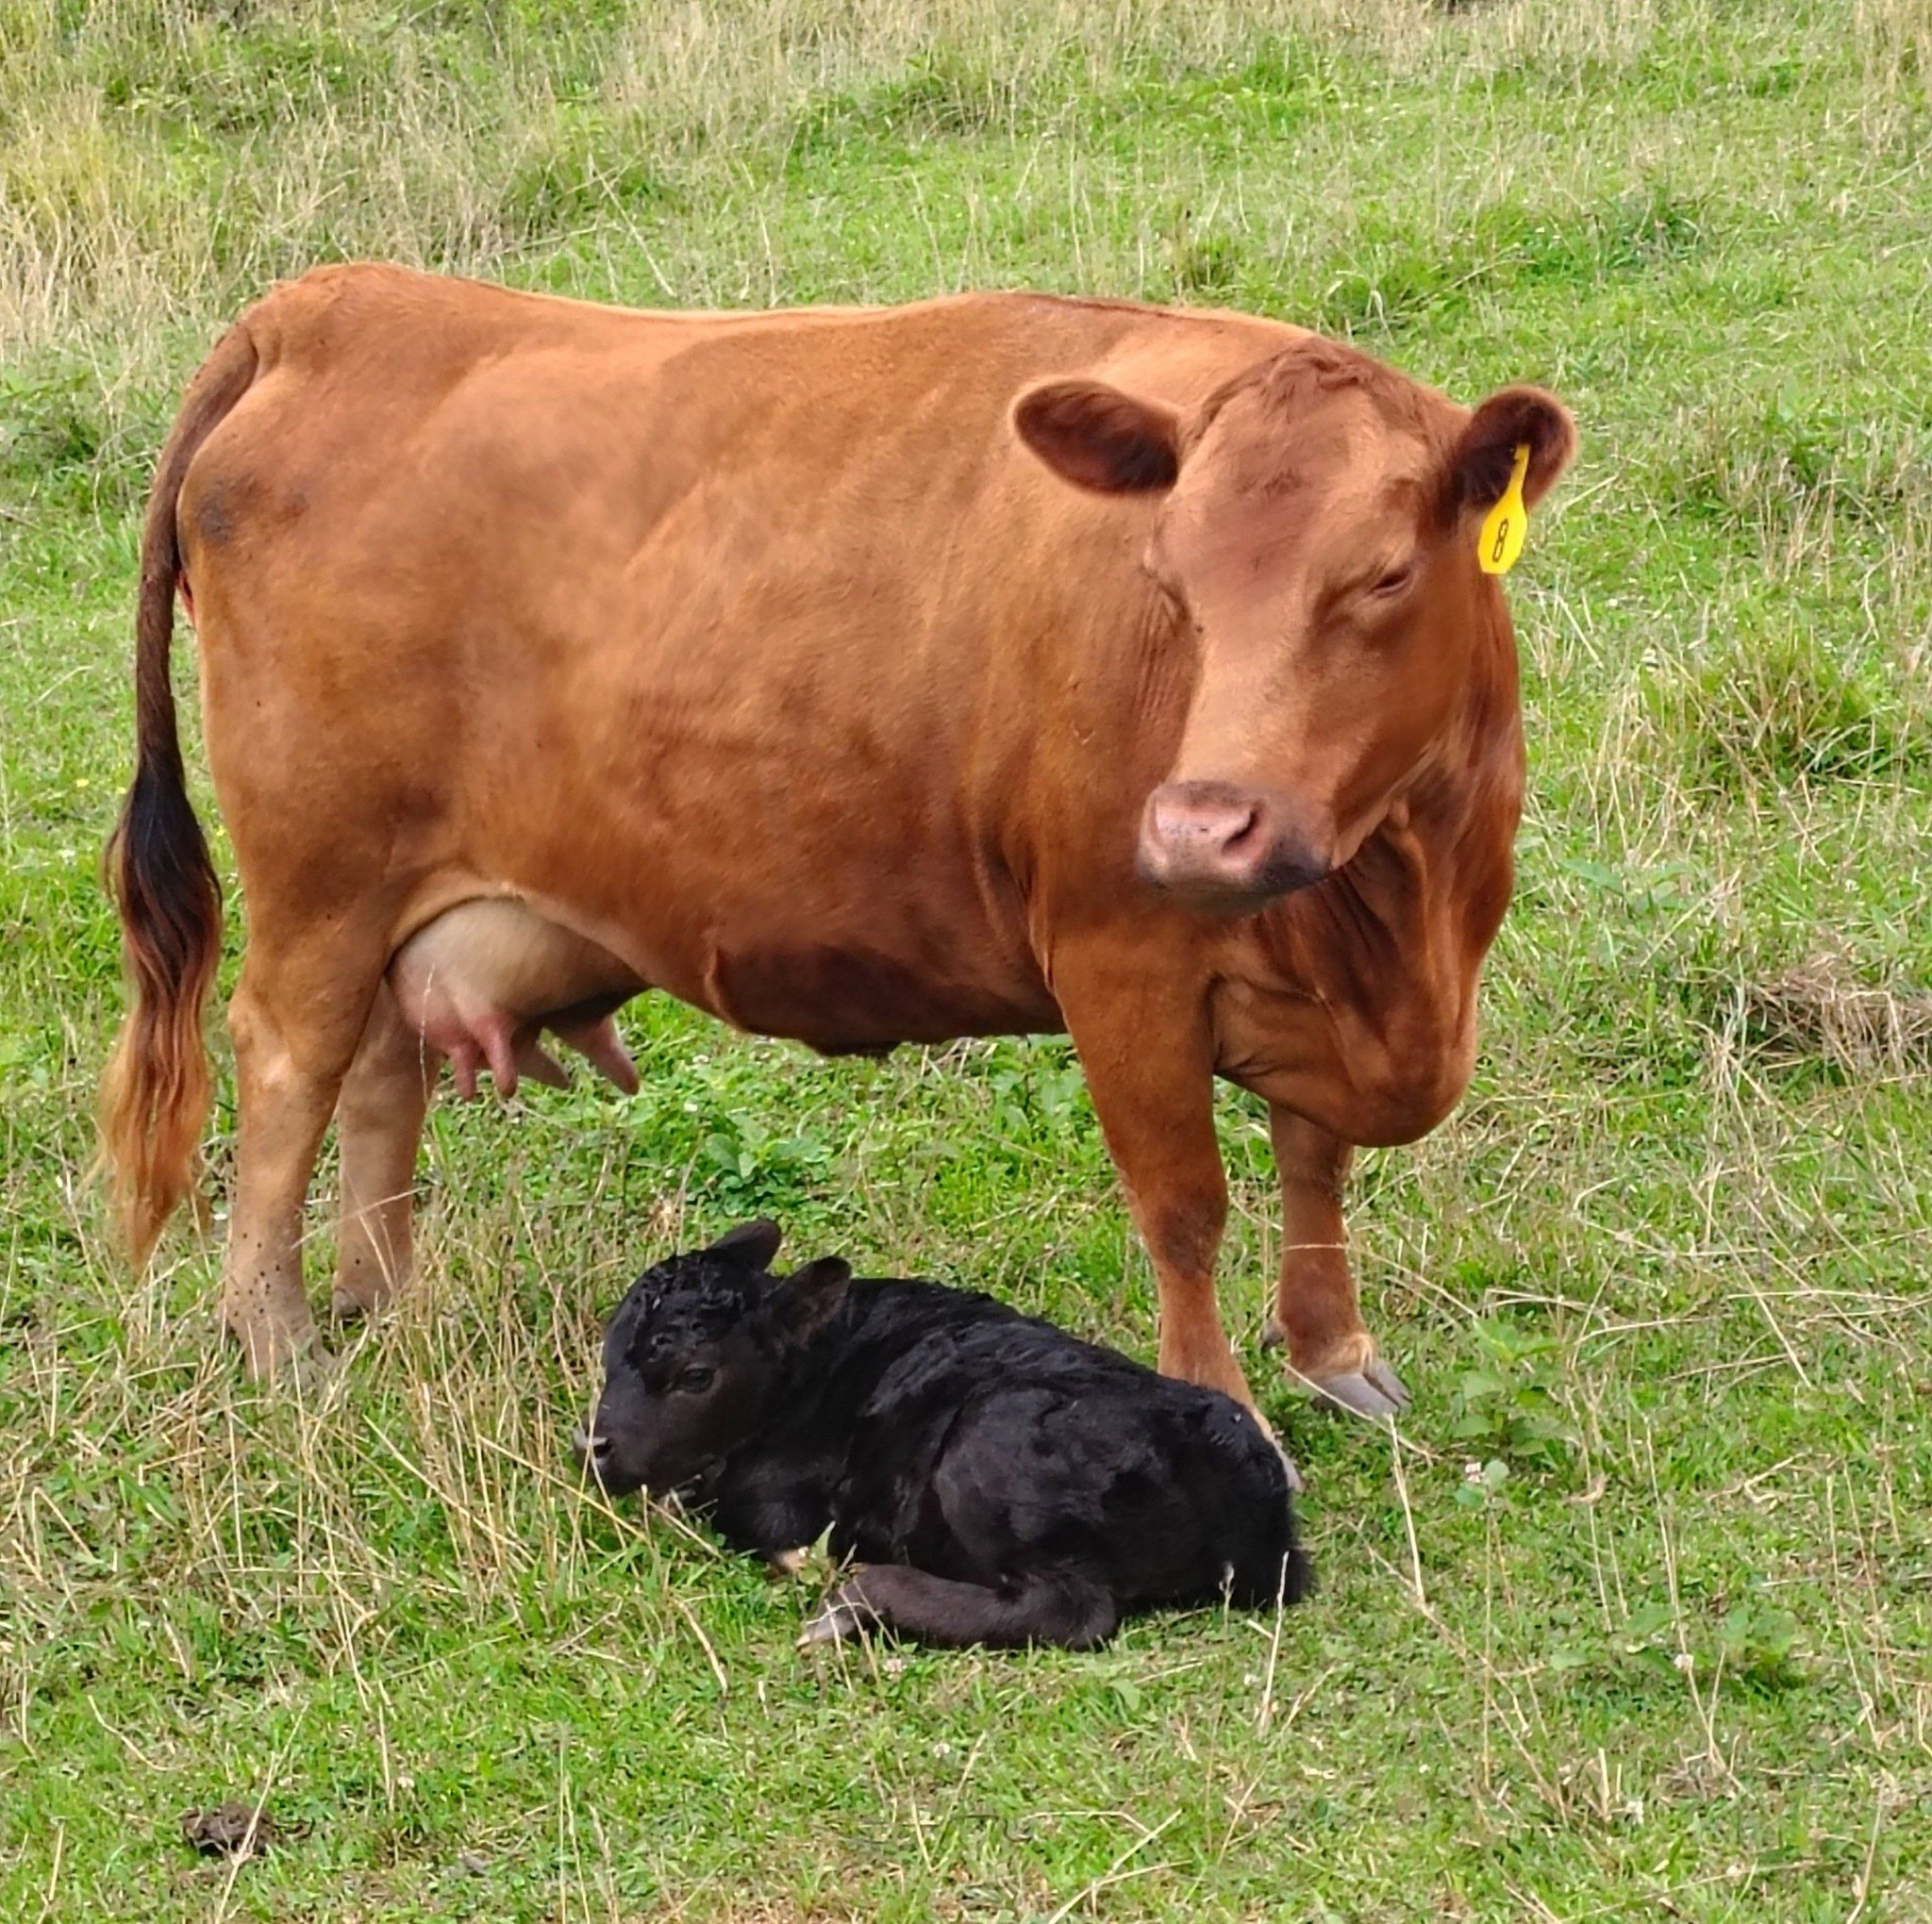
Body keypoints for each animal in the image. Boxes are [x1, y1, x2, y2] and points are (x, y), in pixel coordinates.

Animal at [100, 264, 1575, 1414]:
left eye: (1385, 573)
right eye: (1167, 577)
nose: (1200, 826)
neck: (1400, 914)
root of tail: (329, 302)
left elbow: (1314, 1162)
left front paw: (1335, 1355)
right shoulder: (1122, 961)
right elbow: (1184, 1208)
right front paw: (1224, 1414)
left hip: (397, 894)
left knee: (380, 1069)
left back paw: (386, 1298)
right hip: (320, 874)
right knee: (286, 1061)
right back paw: (278, 1335)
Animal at [583, 1219, 1309, 1650]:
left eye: (695, 1375)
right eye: (609, 1349)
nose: (593, 1449)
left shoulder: (781, 1501)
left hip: (987, 1444)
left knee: (1072, 1610)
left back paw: (855, 1601)